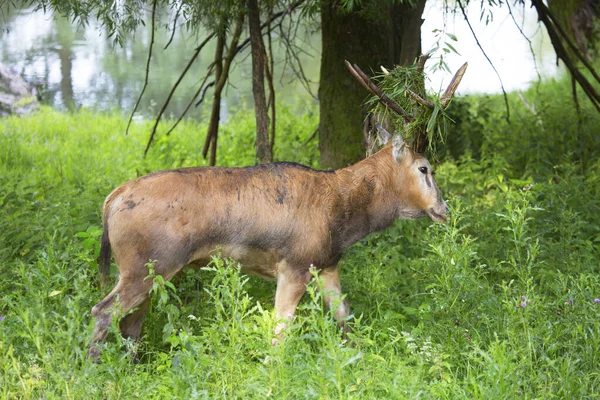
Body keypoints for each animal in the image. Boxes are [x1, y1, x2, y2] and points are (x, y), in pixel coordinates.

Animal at [86, 58, 466, 360]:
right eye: (425, 168)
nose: (444, 209)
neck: (344, 219)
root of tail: (112, 199)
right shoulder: (293, 264)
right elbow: (279, 334)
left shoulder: (326, 264)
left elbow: (345, 321)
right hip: (146, 265)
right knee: (103, 311)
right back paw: (92, 372)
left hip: (151, 270)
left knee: (130, 324)